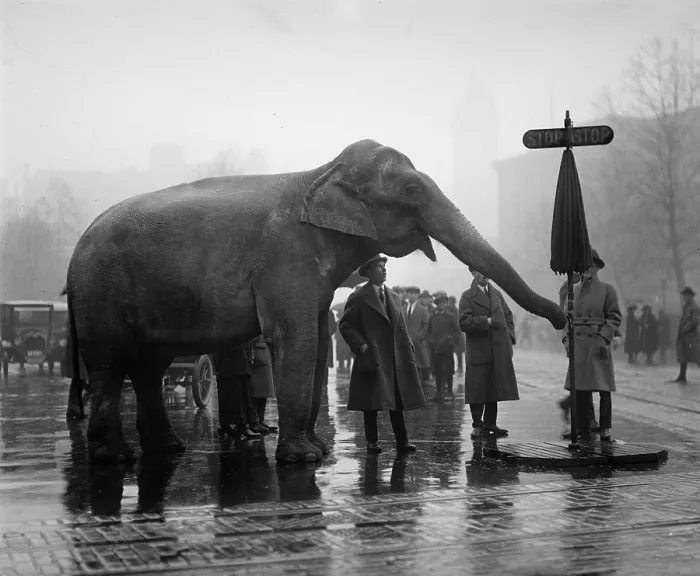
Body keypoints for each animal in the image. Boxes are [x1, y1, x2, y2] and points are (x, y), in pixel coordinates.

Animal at [62, 139, 566, 464]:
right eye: (410, 190)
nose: (562, 317)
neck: (321, 173)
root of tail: (75, 253)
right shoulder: (286, 257)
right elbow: (295, 338)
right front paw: (302, 458)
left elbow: (321, 338)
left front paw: (318, 452)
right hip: (102, 298)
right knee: (112, 366)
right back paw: (114, 458)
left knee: (149, 368)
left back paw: (166, 449)